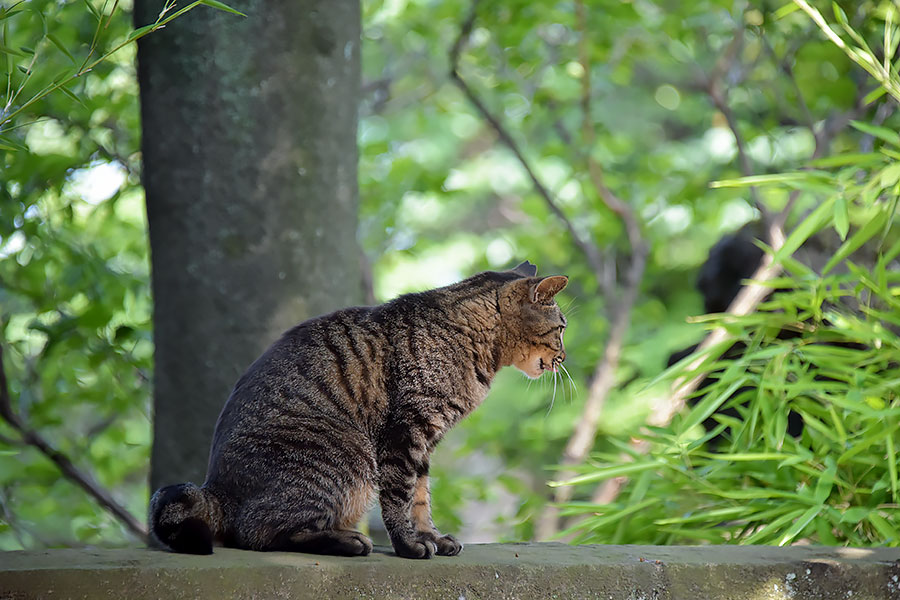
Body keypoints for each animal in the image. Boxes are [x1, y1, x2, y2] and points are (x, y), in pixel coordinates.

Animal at [150, 262, 568, 556]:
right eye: (562, 328)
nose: (564, 357)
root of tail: (215, 489)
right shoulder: (406, 431)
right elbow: (400, 496)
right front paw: (409, 545)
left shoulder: (426, 440)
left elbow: (421, 496)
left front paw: (430, 535)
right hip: (346, 455)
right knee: (255, 532)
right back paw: (346, 542)